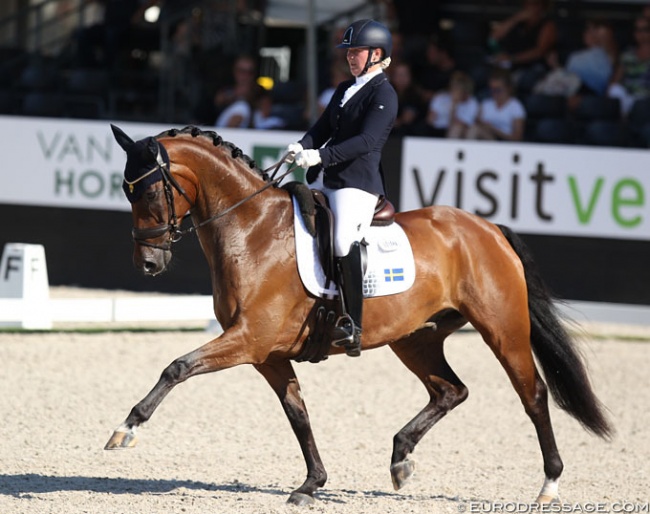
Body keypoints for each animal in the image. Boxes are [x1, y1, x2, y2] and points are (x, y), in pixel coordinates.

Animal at [105, 125, 608, 504]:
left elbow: (177, 366)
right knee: (451, 390)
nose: (148, 264)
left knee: (533, 395)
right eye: (127, 192)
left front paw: (125, 429)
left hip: (503, 329)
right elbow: (298, 414)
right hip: (415, 338)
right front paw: (311, 485)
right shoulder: (268, 354)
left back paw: (549, 485)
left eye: (148, 191)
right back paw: (401, 459)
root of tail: (488, 228)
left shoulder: (249, 339)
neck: (251, 231)